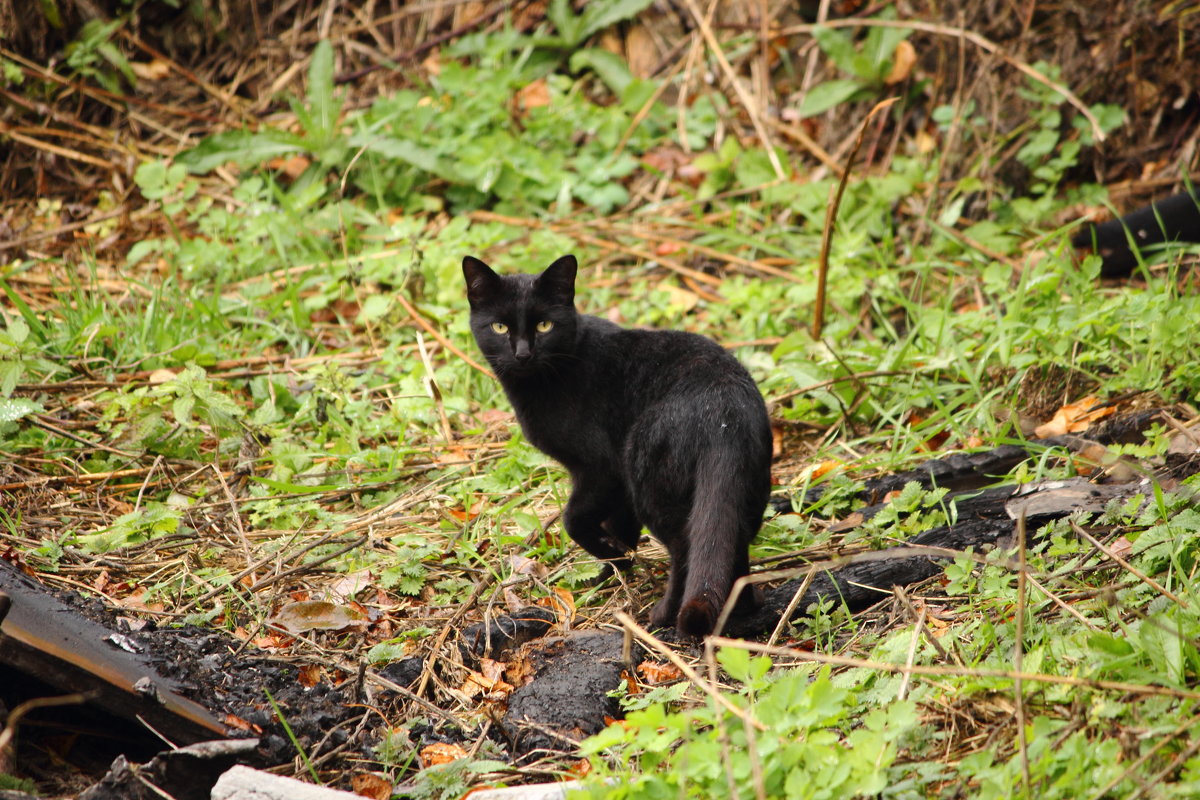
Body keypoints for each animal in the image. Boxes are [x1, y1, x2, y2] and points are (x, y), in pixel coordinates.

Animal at [458, 253, 768, 633]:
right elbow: (622, 523)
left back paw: (663, 615)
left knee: (685, 548)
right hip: (741, 489)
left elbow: (573, 519)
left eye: (545, 325)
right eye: (500, 327)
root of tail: (723, 410)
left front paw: (611, 554)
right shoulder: (620, 484)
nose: (523, 354)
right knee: (730, 544)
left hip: (651, 478)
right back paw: (742, 609)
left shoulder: (601, 467)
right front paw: (616, 566)